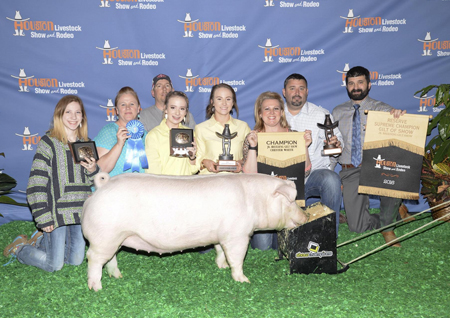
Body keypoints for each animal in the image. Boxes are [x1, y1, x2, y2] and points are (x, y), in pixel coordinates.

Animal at [81, 171, 308, 290]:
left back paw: (118, 277)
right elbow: (237, 257)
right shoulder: (237, 234)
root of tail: (100, 188)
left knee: (110, 259)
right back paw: (96, 287)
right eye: (291, 201)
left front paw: (221, 267)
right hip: (104, 236)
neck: (255, 200)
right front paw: (244, 280)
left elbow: (219, 251)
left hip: (114, 237)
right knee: (93, 258)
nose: (305, 216)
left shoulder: (220, 235)